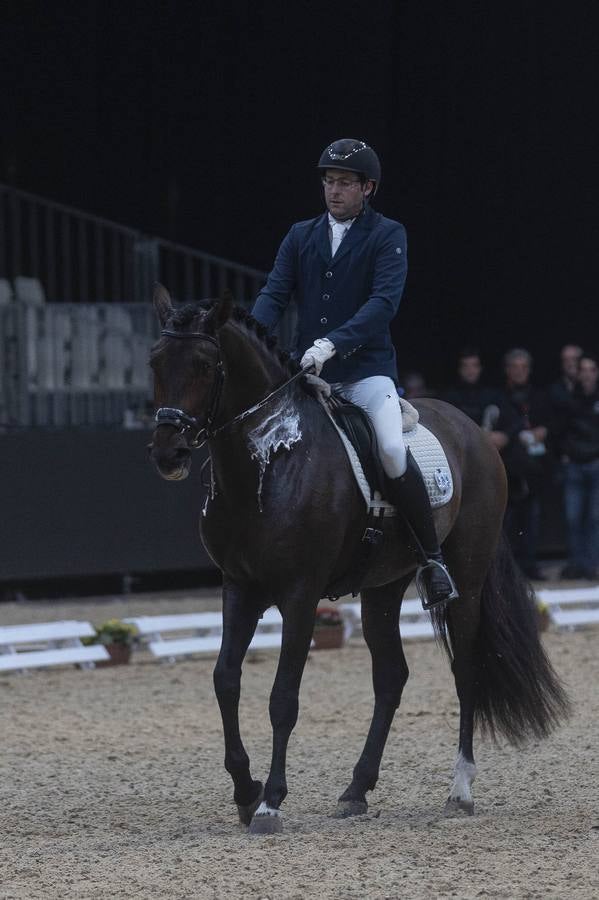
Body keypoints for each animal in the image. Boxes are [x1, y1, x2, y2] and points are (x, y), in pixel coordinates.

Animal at [148, 284, 568, 834]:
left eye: (203, 364)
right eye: (155, 362)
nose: (168, 454)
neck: (268, 458)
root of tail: (473, 429)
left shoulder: (300, 595)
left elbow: (283, 697)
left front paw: (270, 802)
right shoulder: (238, 586)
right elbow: (225, 680)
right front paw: (245, 789)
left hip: (467, 580)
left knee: (465, 670)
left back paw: (459, 790)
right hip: (382, 588)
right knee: (391, 677)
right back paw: (356, 789)